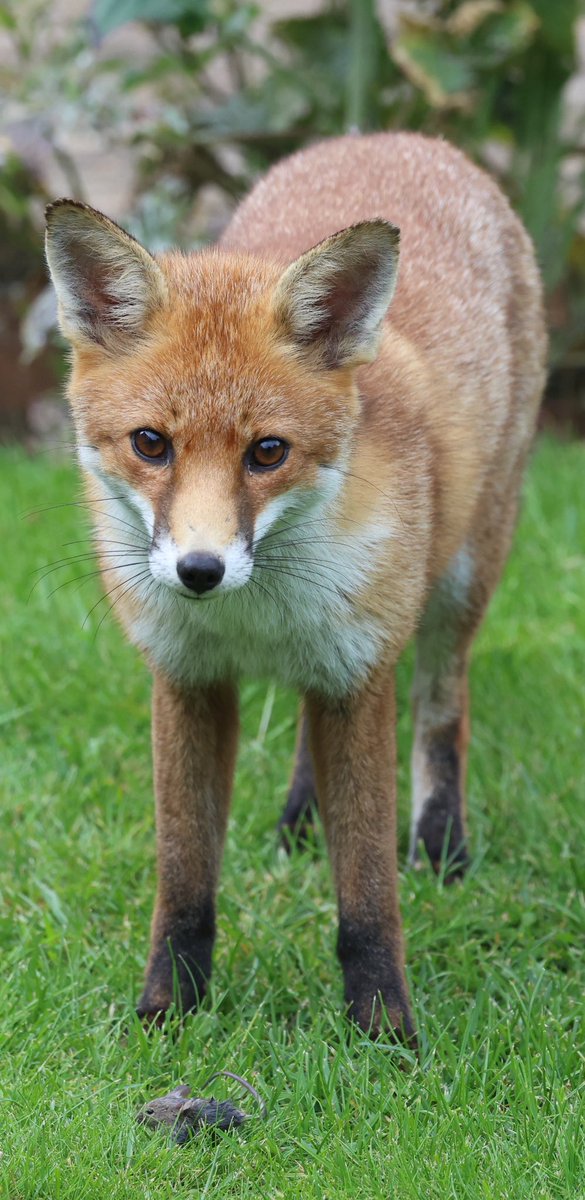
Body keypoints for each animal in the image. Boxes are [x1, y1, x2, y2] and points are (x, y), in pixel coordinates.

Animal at [46, 133, 549, 1041]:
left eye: (267, 452)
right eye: (150, 443)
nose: (200, 570)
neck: (255, 619)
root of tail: (402, 137)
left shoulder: (358, 672)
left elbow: (368, 893)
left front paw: (384, 1029)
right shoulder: (189, 679)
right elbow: (184, 883)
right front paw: (168, 1011)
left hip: (462, 579)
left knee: (441, 710)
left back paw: (441, 844)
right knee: (311, 743)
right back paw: (302, 822)